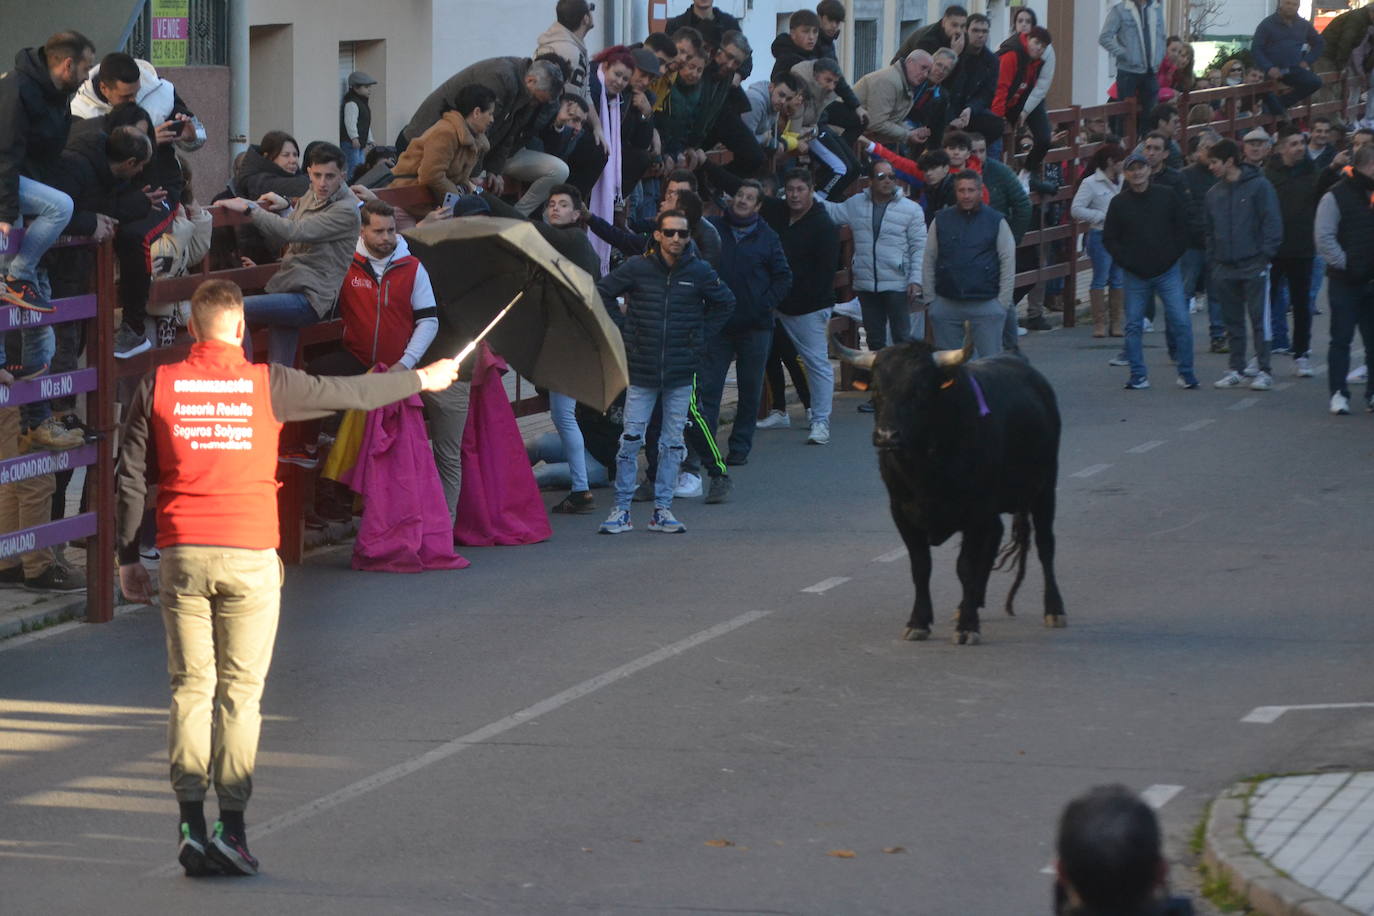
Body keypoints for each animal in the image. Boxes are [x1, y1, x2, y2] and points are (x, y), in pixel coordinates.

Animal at [829, 336, 1066, 645]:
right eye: (877, 390)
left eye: (918, 390)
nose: (886, 436)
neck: (926, 468)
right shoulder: (901, 512)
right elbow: (921, 567)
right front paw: (919, 622)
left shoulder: (975, 511)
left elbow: (965, 566)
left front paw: (967, 626)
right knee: (995, 539)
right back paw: (973, 602)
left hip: (1044, 488)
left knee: (1045, 545)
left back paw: (1054, 609)